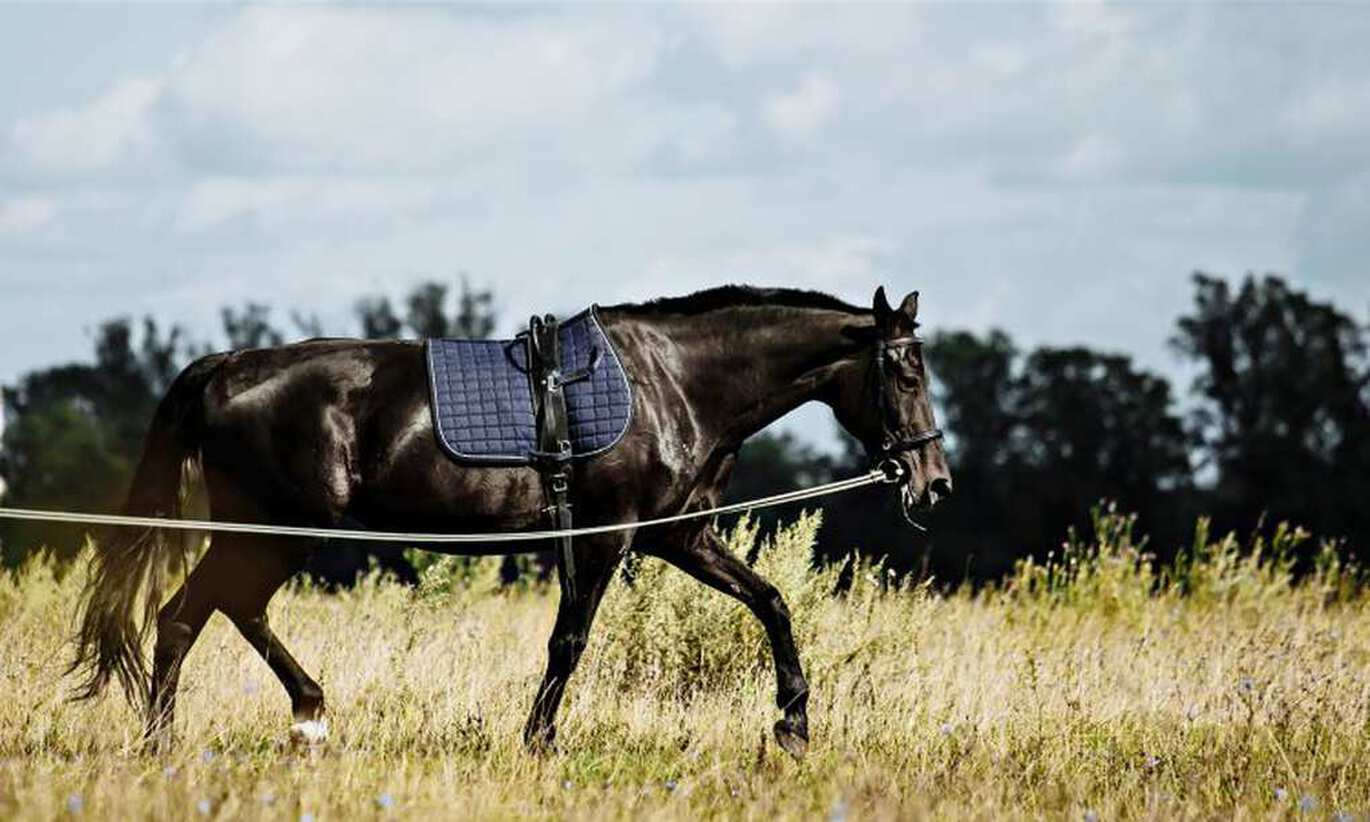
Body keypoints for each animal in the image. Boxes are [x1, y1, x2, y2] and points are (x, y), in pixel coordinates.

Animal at [69, 285, 952, 757]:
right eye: (905, 374)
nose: (934, 481)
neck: (675, 383)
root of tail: (225, 367)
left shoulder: (681, 536)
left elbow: (772, 602)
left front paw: (793, 722)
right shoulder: (606, 536)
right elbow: (570, 640)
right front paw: (539, 739)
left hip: (270, 536)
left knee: (212, 612)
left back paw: (276, 719)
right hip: (276, 530)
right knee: (197, 613)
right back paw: (200, 734)